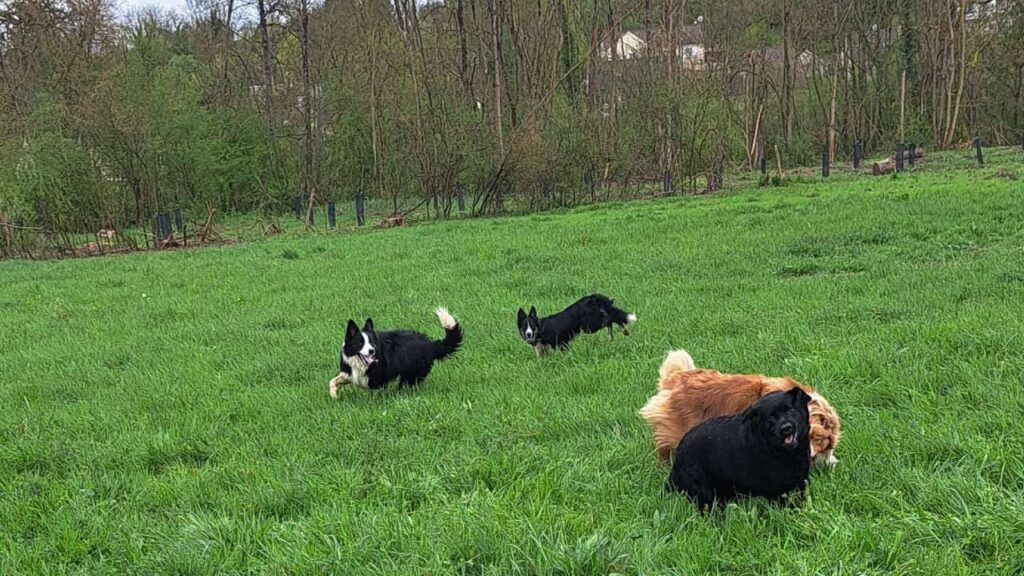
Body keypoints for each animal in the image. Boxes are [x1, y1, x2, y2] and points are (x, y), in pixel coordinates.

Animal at [327, 307, 464, 397]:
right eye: (360, 343)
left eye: (371, 343)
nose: (372, 351)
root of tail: (430, 343)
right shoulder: (350, 372)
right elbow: (332, 381)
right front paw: (334, 395)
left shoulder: (378, 378)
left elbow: (374, 388)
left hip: (411, 373)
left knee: (406, 385)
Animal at [663, 383, 815, 508]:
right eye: (771, 418)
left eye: (791, 410)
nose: (786, 428)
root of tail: (677, 460)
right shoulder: (776, 492)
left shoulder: (801, 481)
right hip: (705, 495)